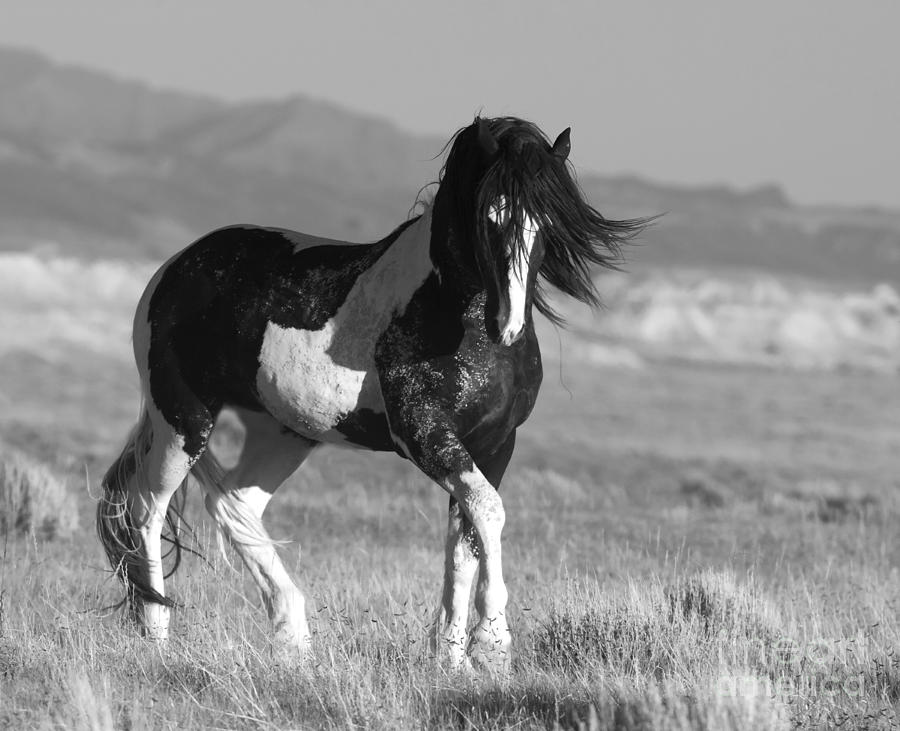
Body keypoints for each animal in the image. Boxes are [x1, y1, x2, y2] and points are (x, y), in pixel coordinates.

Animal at [96, 116, 648, 676]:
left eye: (547, 225)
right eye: (490, 218)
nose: (507, 327)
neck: (447, 312)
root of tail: (175, 267)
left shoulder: (494, 444)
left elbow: (466, 538)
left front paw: (453, 659)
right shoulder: (425, 436)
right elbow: (489, 513)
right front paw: (492, 646)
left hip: (282, 431)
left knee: (233, 504)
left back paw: (294, 642)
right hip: (183, 420)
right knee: (147, 510)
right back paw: (157, 637)